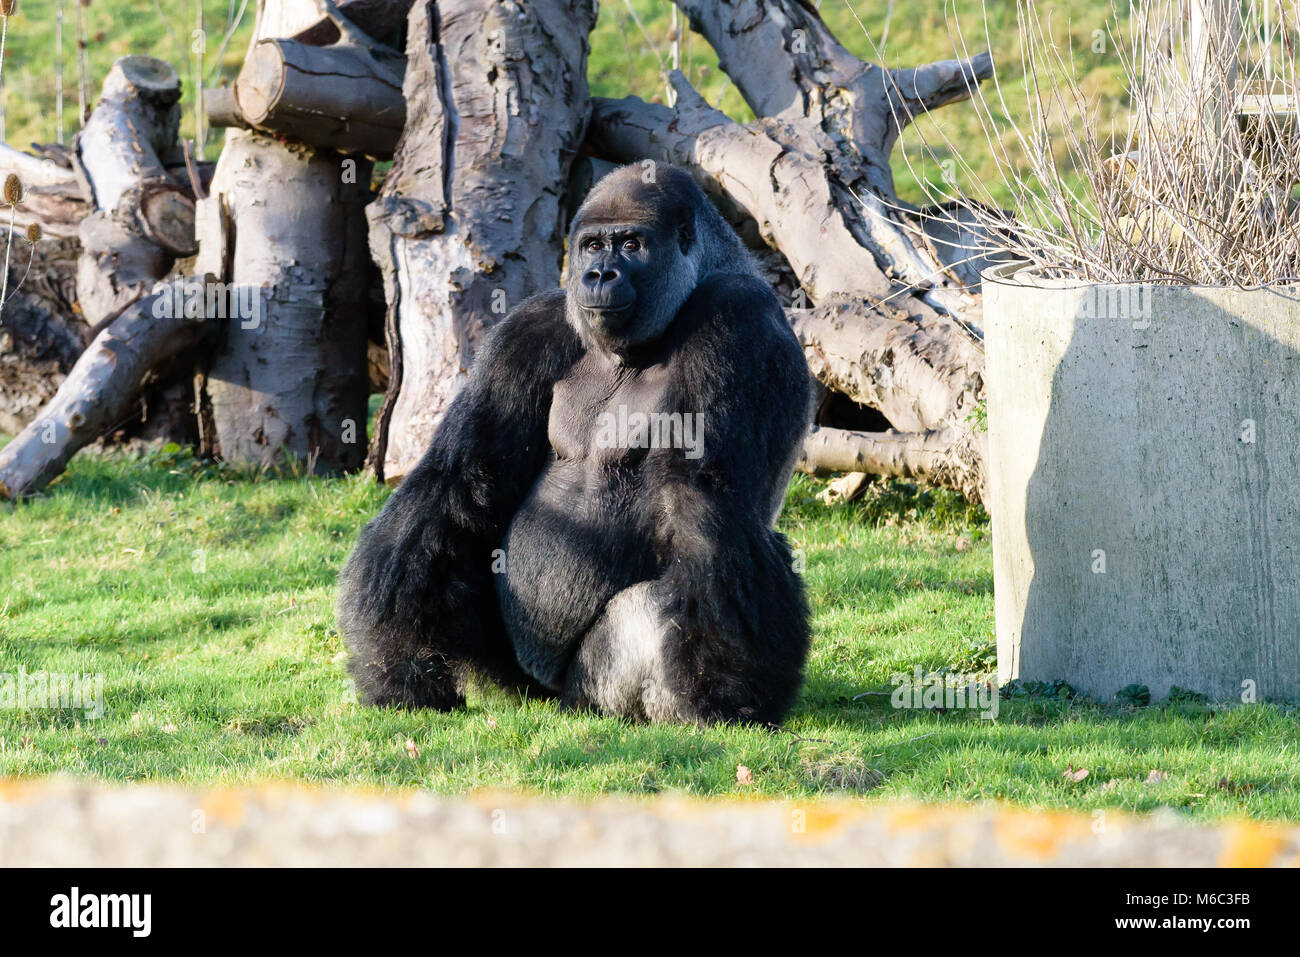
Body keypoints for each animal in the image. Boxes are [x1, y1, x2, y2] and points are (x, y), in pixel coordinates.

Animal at [343, 160, 811, 722]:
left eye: (630, 244)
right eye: (591, 246)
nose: (598, 275)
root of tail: (551, 694)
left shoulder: (737, 314)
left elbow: (704, 501)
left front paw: (723, 689)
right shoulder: (529, 327)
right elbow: (459, 479)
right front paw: (397, 659)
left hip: (590, 690)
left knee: (647, 609)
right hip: (517, 677)